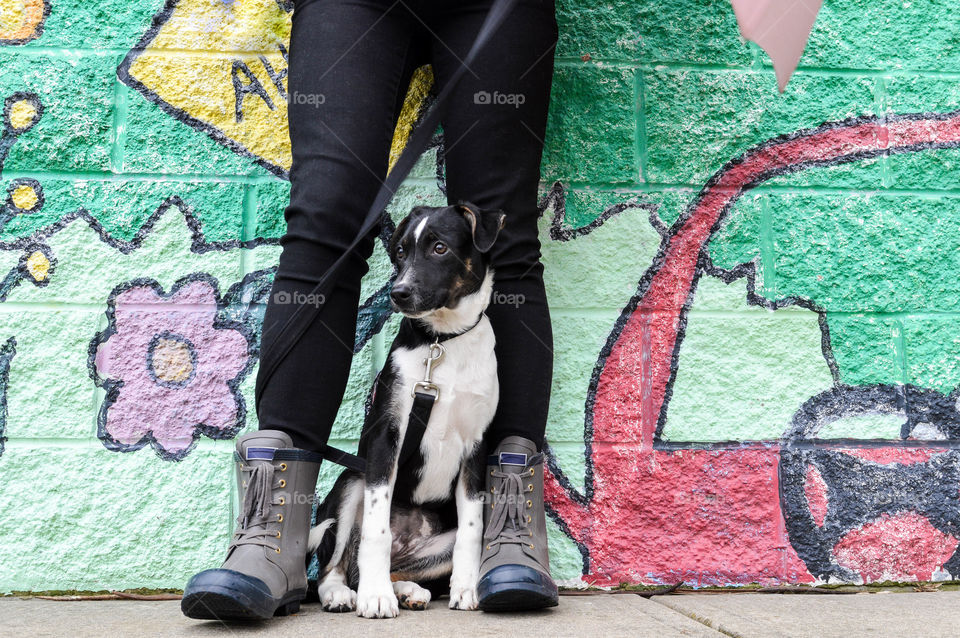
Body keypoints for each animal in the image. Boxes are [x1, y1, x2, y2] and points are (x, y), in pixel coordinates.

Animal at [308, 202, 506, 616]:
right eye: (400, 252)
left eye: (440, 248)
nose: (398, 293)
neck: (442, 341)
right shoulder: (387, 437)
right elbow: (376, 530)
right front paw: (375, 597)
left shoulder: (476, 446)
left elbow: (472, 532)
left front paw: (467, 588)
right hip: (351, 481)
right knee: (336, 566)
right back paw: (347, 593)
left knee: (397, 567)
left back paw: (408, 590)